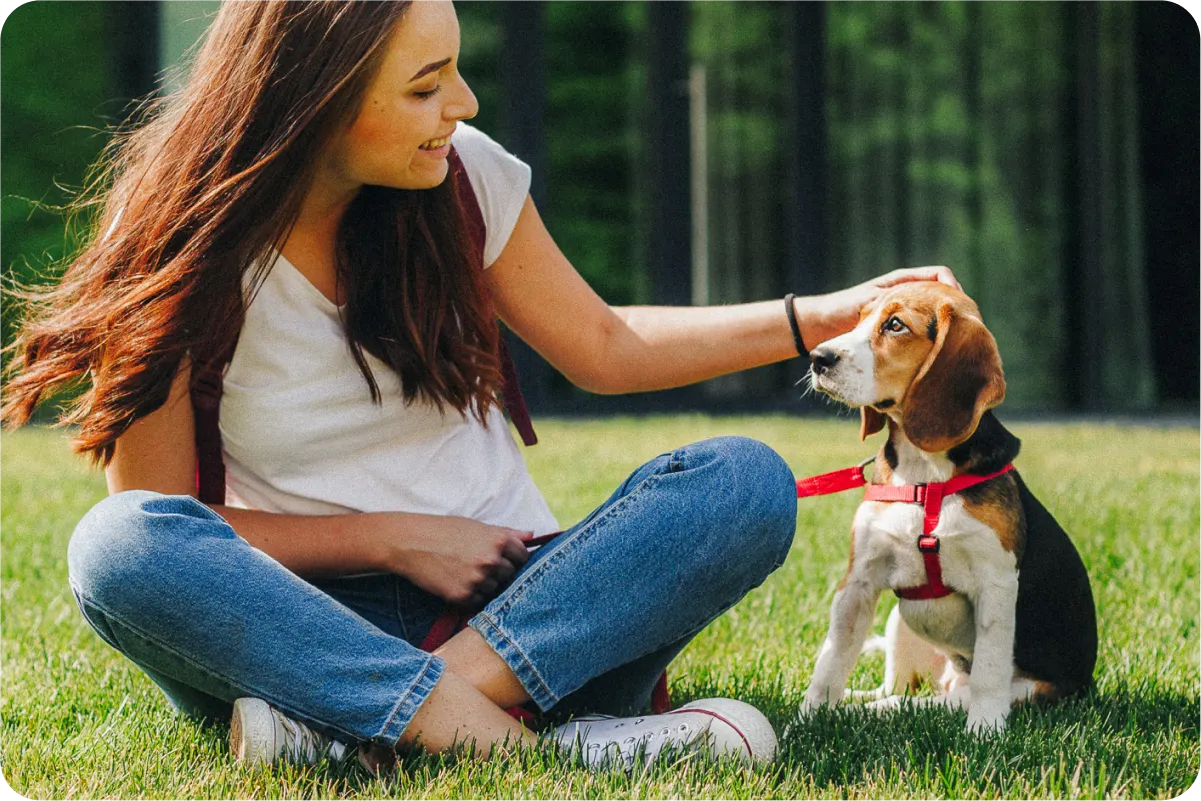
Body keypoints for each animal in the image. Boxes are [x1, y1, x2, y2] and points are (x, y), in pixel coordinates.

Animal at [797, 282, 1100, 734]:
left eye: (895, 325)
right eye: (859, 318)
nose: (818, 357)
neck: (925, 479)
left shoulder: (995, 582)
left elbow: (991, 665)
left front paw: (986, 730)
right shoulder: (859, 579)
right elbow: (831, 661)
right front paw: (807, 717)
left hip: (1004, 689)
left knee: (915, 702)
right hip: (898, 621)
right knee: (895, 690)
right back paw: (851, 701)